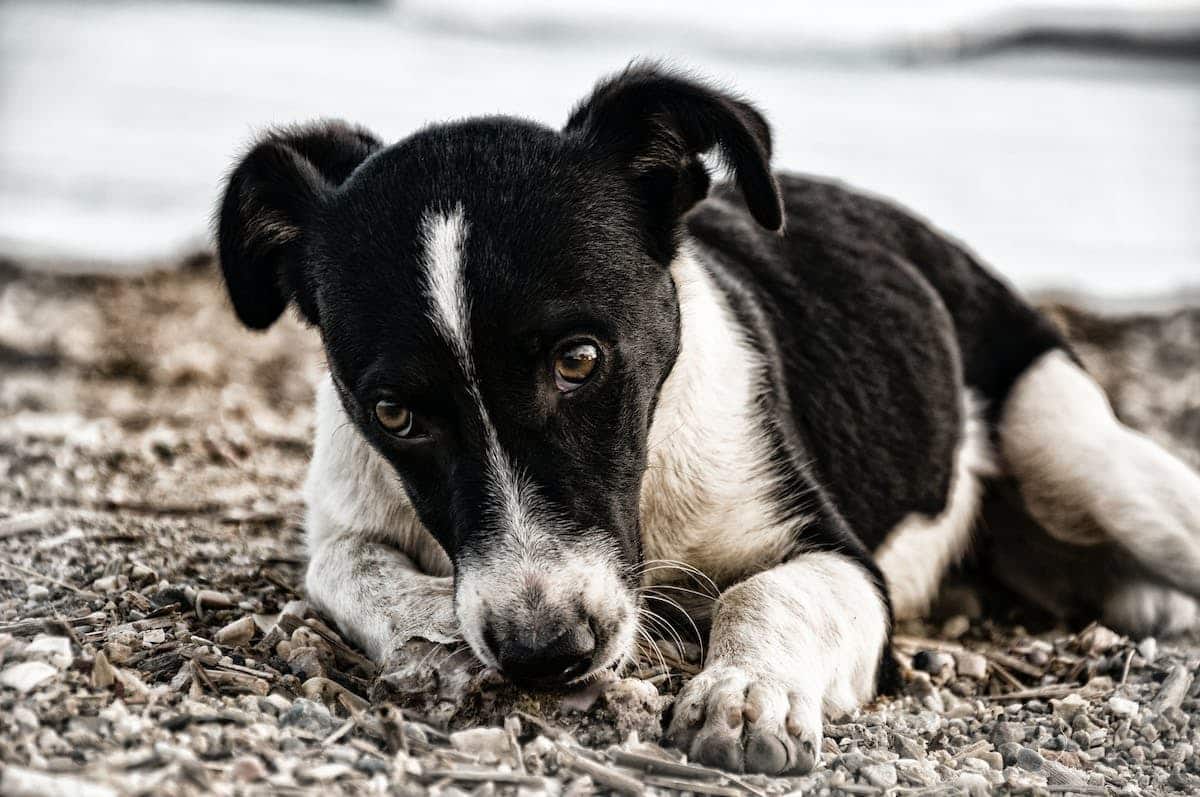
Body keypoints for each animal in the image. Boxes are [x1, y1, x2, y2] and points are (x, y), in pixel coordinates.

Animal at [216, 65, 1200, 772]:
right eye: (394, 413)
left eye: (580, 360)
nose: (545, 652)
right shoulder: (346, 509)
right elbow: (348, 568)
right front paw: (435, 633)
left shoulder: (839, 560)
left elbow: (766, 590)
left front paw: (747, 692)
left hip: (1076, 453)